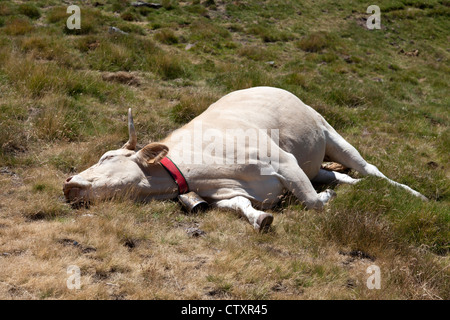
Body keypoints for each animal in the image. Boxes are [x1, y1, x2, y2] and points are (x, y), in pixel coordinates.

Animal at [62, 85, 426, 230]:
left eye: (106, 157)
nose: (67, 182)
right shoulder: (225, 194)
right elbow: (239, 205)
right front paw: (260, 219)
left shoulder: (284, 163)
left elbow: (312, 202)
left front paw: (325, 199)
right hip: (315, 162)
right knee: (343, 176)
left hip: (328, 131)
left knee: (368, 168)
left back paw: (414, 195)